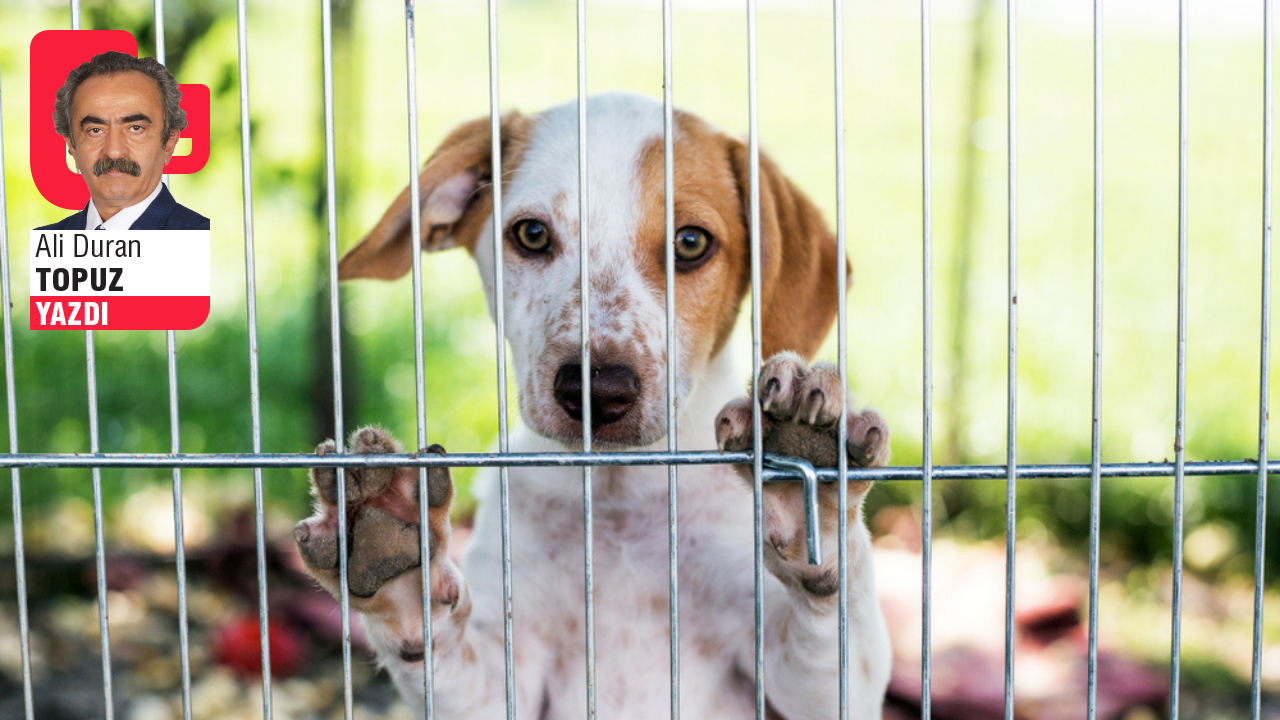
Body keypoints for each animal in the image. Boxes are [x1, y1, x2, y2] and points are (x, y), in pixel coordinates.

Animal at [293, 92, 890, 712]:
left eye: (691, 243)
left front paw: (808, 489)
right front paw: (395, 560)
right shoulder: (508, 677)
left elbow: (835, 620)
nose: (596, 390)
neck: (615, 489)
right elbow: (436, 645)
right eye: (532, 234)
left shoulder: (801, 684)